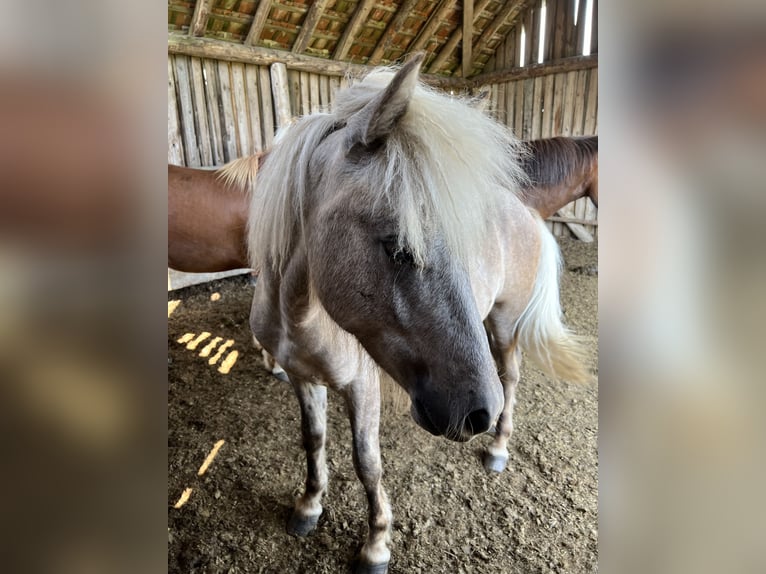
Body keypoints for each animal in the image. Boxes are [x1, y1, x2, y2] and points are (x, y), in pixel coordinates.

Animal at [234, 55, 588, 574]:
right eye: (398, 246)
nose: (477, 414)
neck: (299, 314)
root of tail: (529, 214)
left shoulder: (362, 386)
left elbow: (367, 462)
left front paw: (376, 544)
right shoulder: (302, 378)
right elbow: (313, 440)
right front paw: (309, 506)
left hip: (503, 325)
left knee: (511, 376)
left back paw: (498, 448)